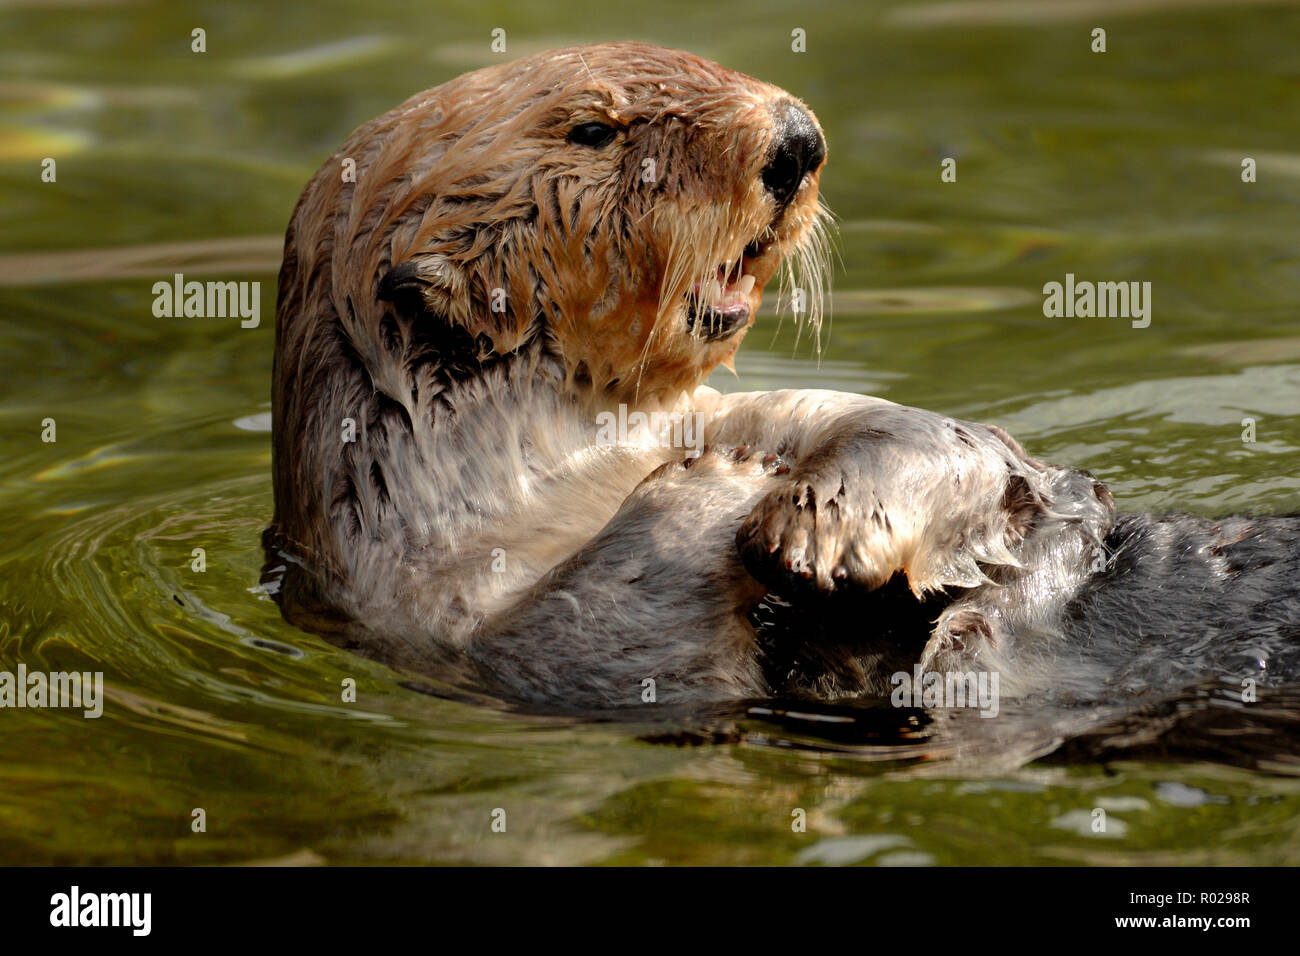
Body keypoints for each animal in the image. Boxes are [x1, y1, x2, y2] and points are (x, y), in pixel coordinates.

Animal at [263, 41, 1300, 712]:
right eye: (595, 130)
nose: (797, 138)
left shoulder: (751, 405)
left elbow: (945, 442)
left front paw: (810, 518)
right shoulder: (425, 612)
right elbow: (598, 632)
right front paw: (715, 489)